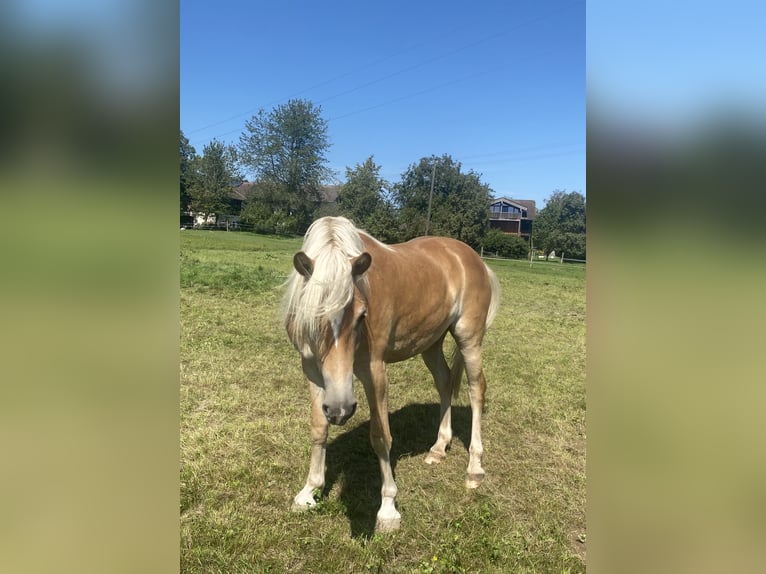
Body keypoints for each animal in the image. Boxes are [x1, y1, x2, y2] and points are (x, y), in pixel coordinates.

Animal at [284, 217, 500, 536]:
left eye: (362, 315)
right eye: (311, 313)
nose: (340, 409)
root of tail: (473, 258)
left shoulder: (375, 372)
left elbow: (381, 437)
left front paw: (388, 510)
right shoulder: (313, 372)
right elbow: (318, 429)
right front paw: (309, 491)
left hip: (469, 338)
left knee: (476, 390)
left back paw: (474, 468)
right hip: (431, 343)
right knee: (445, 383)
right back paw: (439, 447)